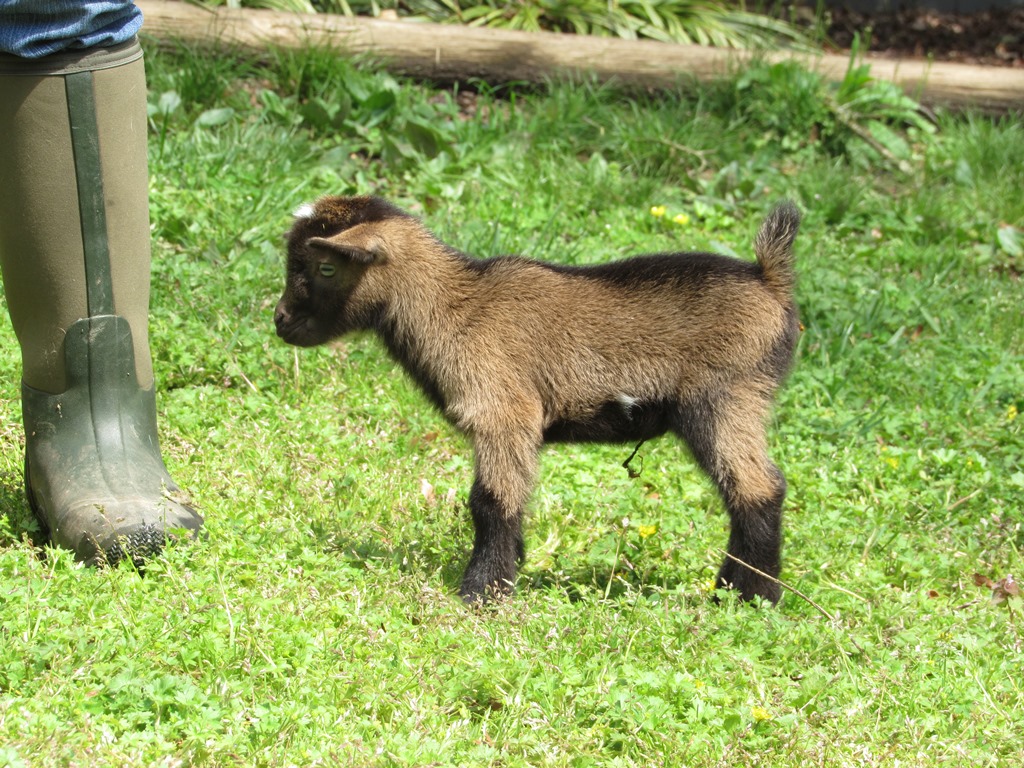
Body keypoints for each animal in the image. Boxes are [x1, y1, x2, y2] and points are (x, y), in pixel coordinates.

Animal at [274, 198, 798, 606]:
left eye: (325, 267)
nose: (280, 321)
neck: (455, 309)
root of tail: (770, 280)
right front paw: (514, 566)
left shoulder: (503, 412)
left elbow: (490, 501)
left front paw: (482, 592)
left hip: (725, 398)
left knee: (758, 488)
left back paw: (750, 597)